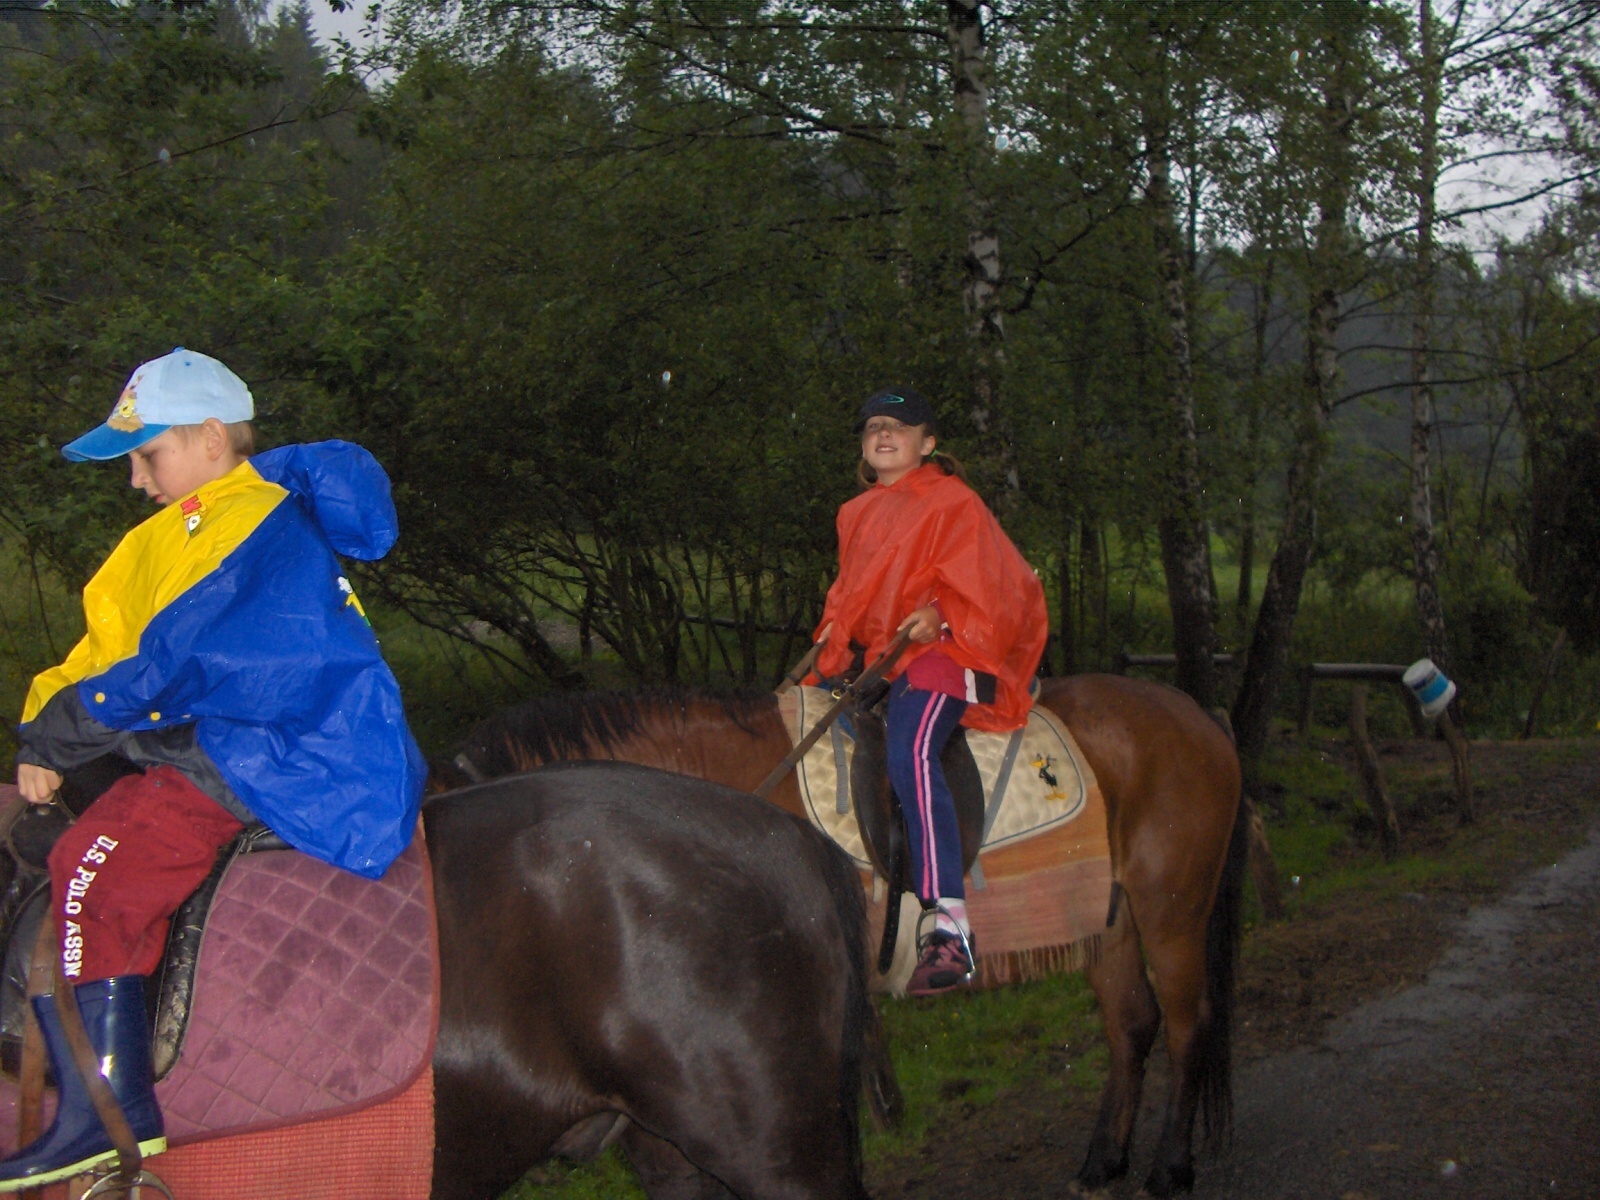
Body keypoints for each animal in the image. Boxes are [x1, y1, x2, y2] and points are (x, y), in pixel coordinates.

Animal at [441, 672, 1248, 1196]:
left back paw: (1170, 1168)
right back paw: (1103, 1161)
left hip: (1171, 910)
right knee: (1131, 1025)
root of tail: (1197, 714)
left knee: (1187, 1023)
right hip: (1107, 920)